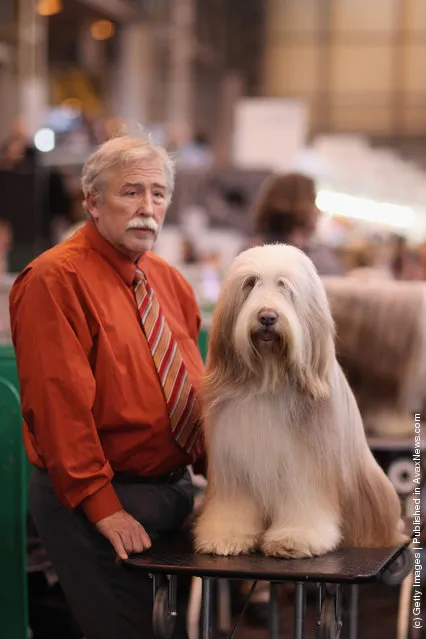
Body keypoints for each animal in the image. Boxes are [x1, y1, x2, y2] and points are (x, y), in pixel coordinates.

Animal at [193, 245, 406, 560]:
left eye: (285, 286)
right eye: (251, 283)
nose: (267, 316)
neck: (269, 377)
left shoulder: (306, 465)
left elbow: (304, 502)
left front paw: (294, 539)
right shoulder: (234, 464)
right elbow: (234, 505)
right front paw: (227, 536)